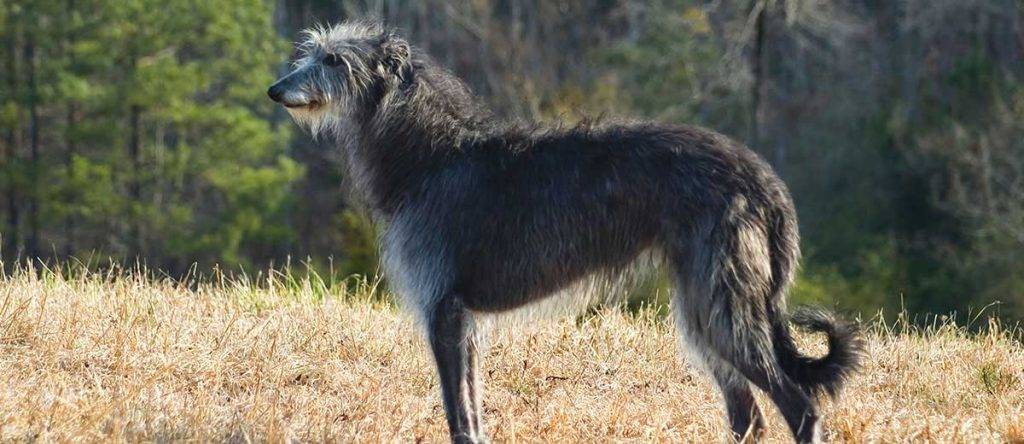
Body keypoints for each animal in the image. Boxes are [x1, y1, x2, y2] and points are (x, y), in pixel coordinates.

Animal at [270, 21, 864, 444]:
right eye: (311, 51)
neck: (432, 155)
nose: (276, 89)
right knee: (749, 418)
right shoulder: (464, 320)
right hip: (705, 307)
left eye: (333, 58)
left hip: (722, 302)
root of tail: (759, 173)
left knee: (800, 408)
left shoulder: (443, 309)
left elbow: (458, 416)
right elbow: (472, 411)